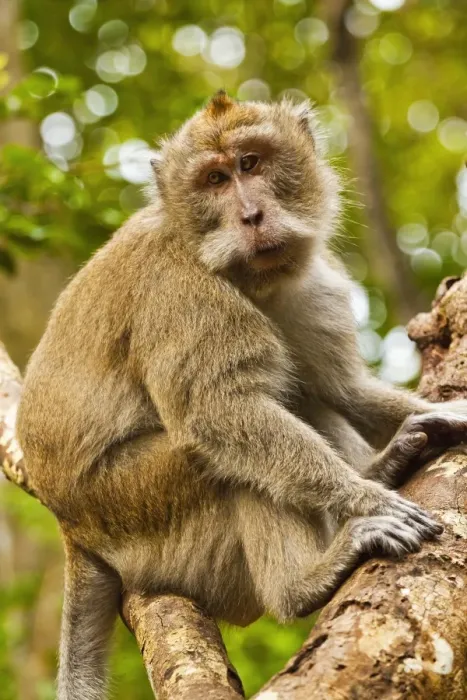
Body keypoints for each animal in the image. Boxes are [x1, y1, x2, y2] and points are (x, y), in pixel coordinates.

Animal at [16, 91, 467, 700]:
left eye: (251, 163)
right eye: (213, 179)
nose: (251, 216)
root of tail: (70, 527)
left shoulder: (312, 285)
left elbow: (343, 388)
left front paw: (443, 417)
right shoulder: (181, 292)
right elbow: (219, 413)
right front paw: (367, 500)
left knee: (299, 397)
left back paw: (387, 463)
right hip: (131, 511)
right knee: (225, 463)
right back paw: (304, 583)